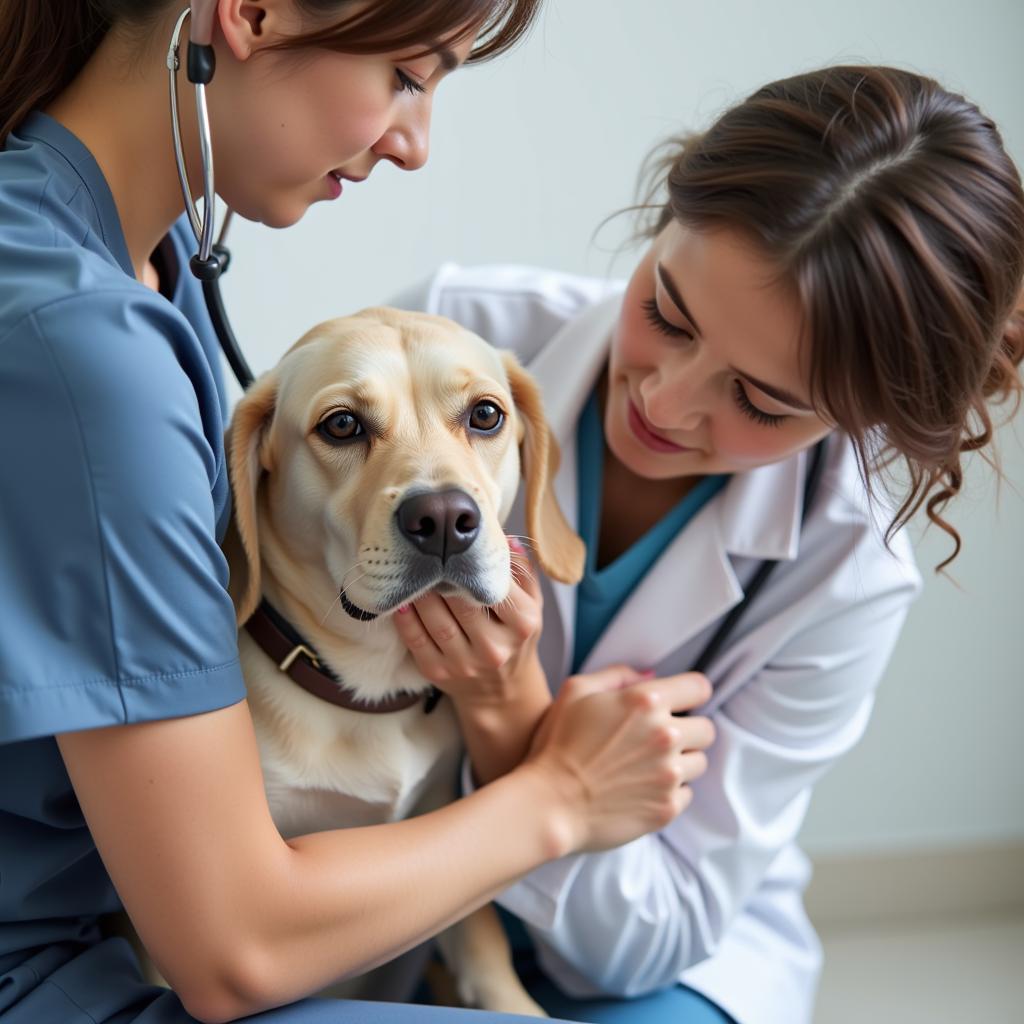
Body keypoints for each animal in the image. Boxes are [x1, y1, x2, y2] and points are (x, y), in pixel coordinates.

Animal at [223, 307, 585, 1011]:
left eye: (486, 415)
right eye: (342, 424)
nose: (444, 518)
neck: (368, 693)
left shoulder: (447, 825)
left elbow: (489, 961)